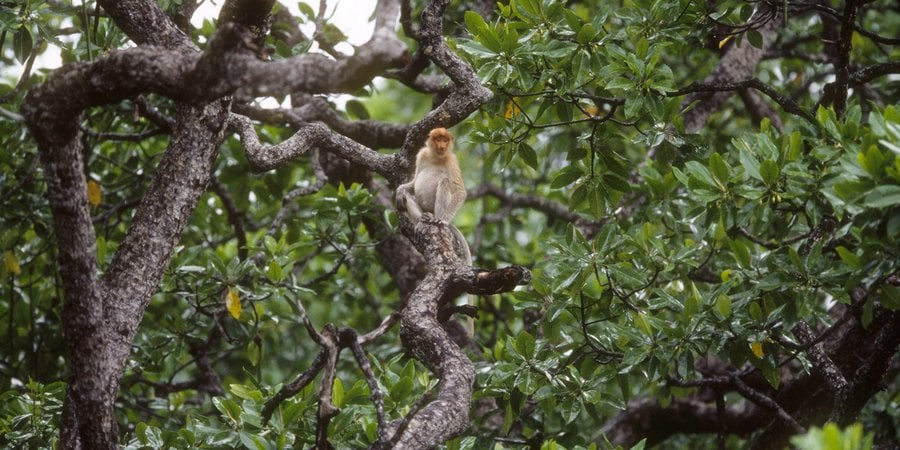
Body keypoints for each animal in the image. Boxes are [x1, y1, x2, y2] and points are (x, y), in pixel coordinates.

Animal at [397, 128, 475, 335]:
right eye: (438, 139)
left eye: (445, 140)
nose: (442, 145)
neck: (436, 157)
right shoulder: (422, 154)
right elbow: (413, 182)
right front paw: (399, 190)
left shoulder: (451, 159)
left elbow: (460, 190)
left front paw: (443, 220)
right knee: (410, 194)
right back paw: (421, 221)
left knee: (446, 181)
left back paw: (436, 220)